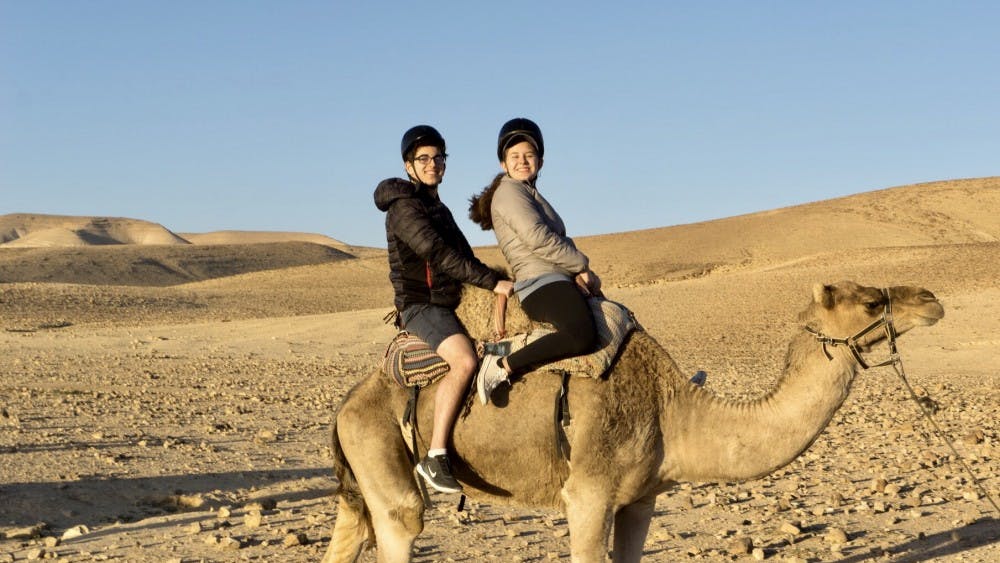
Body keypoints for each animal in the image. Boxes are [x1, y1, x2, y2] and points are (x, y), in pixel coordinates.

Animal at [321, 281, 944, 563]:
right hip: (383, 446)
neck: (674, 413)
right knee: (401, 522)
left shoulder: (642, 498)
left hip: (362, 469)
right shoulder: (588, 494)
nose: (931, 300)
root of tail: (348, 401)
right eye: (871, 302)